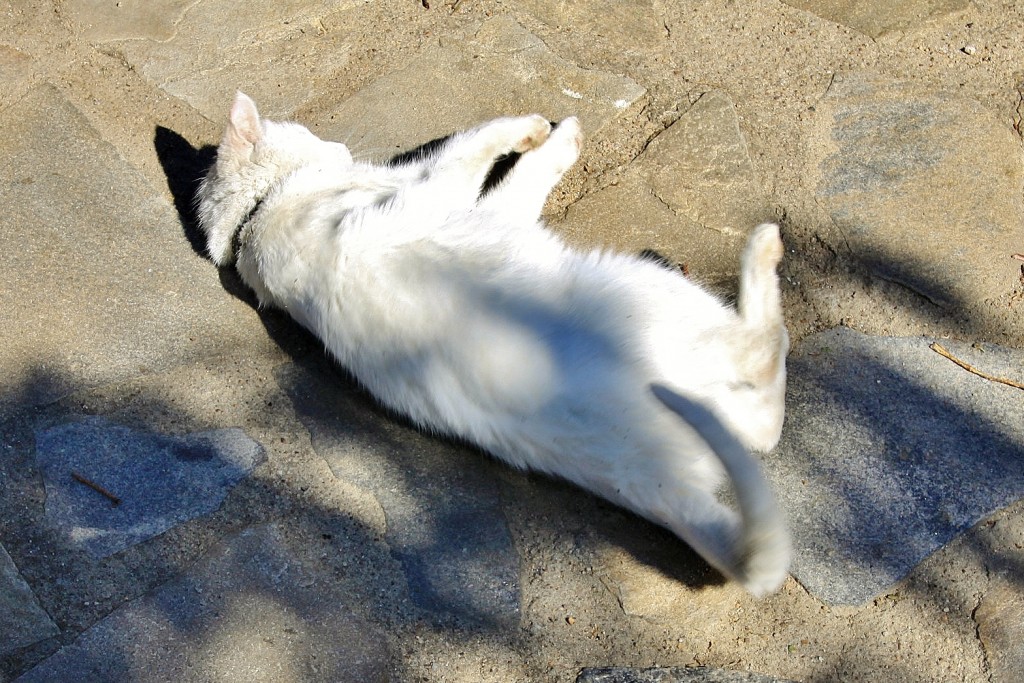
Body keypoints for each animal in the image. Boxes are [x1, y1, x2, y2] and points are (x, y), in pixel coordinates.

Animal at [197, 93, 790, 593]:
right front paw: (538, 130)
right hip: (649, 290)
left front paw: (554, 137)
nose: (340, 146)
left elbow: (517, 176)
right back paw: (763, 250)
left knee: (763, 422)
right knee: (764, 356)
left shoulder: (481, 207)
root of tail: (652, 482)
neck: (259, 215)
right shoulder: (441, 191)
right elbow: (477, 145)